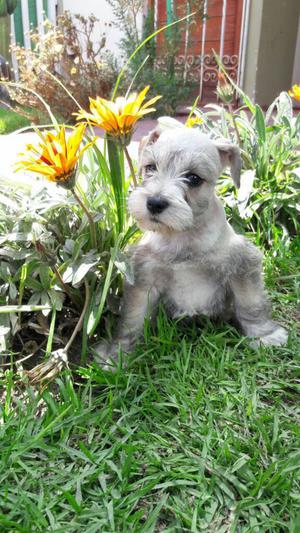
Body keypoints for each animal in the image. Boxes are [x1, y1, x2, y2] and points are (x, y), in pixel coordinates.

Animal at [96, 125, 288, 366]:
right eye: (150, 168)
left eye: (194, 178)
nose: (155, 203)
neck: (181, 235)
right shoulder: (143, 277)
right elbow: (132, 317)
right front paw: (117, 354)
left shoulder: (241, 264)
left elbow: (250, 303)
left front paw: (265, 335)